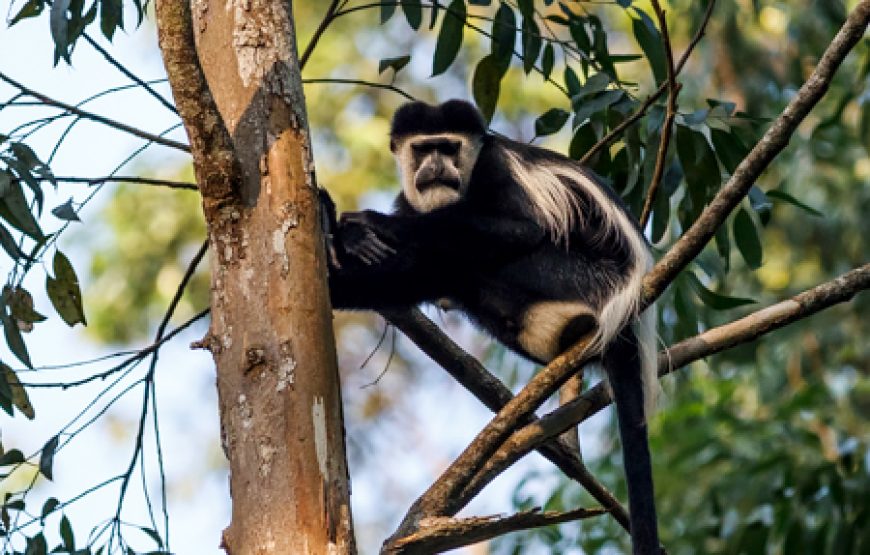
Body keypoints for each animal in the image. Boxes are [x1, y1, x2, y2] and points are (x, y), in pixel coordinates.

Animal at [320, 99, 661, 555]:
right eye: (423, 149)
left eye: (449, 148)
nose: (435, 167)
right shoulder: (410, 199)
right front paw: (346, 243)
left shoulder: (495, 168)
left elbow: (520, 228)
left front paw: (367, 223)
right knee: (446, 273)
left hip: (584, 278)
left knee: (475, 252)